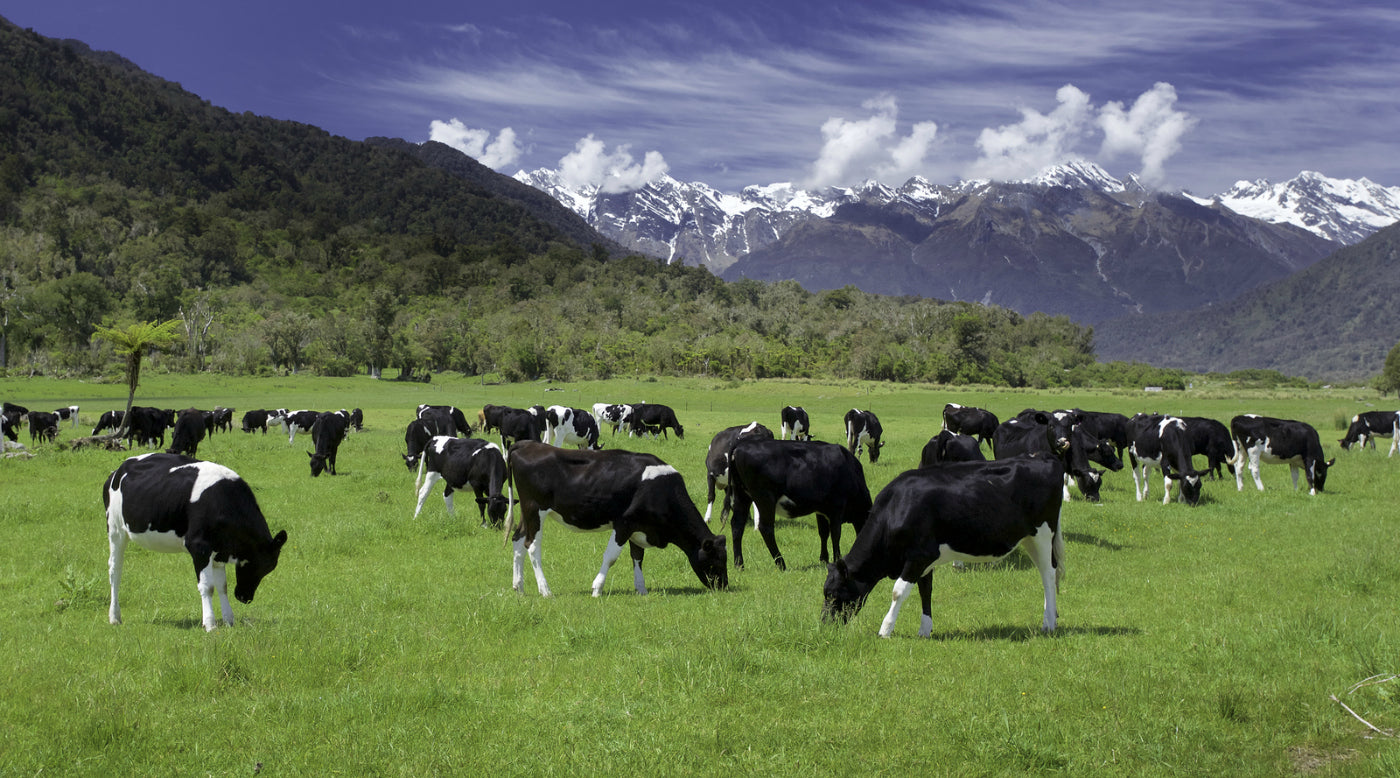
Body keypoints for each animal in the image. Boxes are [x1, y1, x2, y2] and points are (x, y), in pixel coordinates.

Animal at [104, 452, 288, 631]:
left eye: (268, 568)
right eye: (257, 565)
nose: (245, 597)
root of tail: (117, 471)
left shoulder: (219, 551)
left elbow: (222, 586)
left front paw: (229, 621)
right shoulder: (200, 547)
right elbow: (208, 587)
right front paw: (210, 624)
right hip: (116, 529)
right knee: (115, 570)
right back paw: (114, 617)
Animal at [505, 441, 728, 597]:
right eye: (716, 560)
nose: (724, 586)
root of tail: (526, 444)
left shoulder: (638, 526)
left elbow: (637, 556)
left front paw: (641, 589)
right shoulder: (624, 522)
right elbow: (611, 557)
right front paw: (597, 589)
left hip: (526, 512)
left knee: (517, 540)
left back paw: (519, 587)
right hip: (536, 510)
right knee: (532, 546)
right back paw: (545, 590)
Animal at [726, 438, 871, 571]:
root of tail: (741, 444)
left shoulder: (821, 510)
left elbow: (823, 533)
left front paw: (824, 559)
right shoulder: (837, 506)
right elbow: (836, 534)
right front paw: (837, 560)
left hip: (741, 495)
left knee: (737, 525)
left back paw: (739, 565)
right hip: (764, 497)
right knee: (766, 528)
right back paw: (781, 564)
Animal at [821, 456, 1065, 638]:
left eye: (832, 594)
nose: (824, 624)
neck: (896, 509)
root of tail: (1045, 458)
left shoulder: (919, 556)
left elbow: (898, 591)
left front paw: (885, 630)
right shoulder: (924, 561)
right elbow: (925, 589)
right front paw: (924, 630)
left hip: (1044, 533)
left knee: (1048, 573)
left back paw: (1048, 623)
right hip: (1029, 538)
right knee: (1047, 574)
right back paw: (1051, 614)